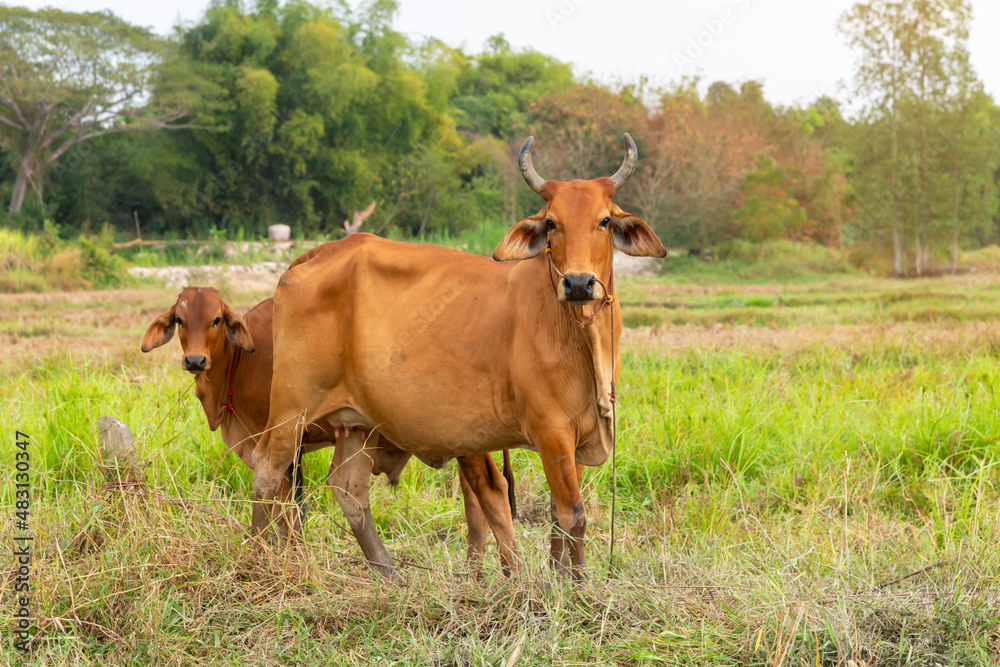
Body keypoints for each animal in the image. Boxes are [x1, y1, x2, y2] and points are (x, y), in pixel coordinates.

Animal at [139, 288, 516, 576]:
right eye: (180, 319)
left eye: (216, 319)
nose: (195, 361)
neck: (239, 361)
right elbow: (290, 512)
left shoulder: (280, 437)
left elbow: (287, 509)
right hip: (464, 443)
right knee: (474, 500)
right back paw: (473, 574)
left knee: (492, 490)